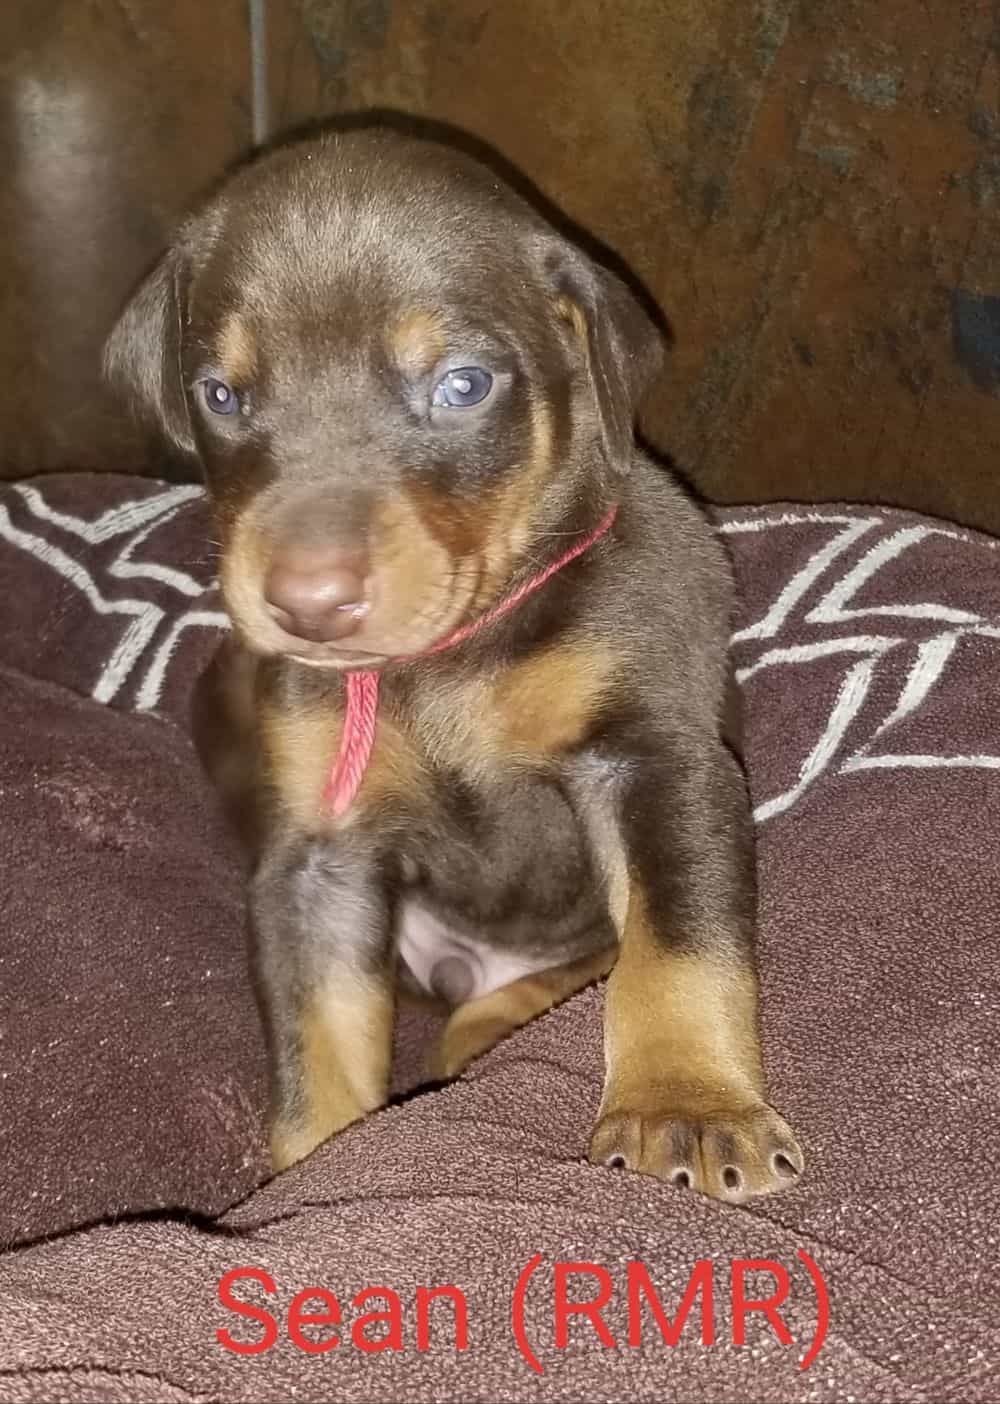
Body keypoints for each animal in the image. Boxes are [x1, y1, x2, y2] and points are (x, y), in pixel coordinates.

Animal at [105, 126, 803, 1207]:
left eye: (462, 384)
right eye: (220, 394)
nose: (307, 603)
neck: (445, 659)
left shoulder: (655, 759)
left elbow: (678, 944)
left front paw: (685, 1107)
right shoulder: (318, 851)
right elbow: (320, 1039)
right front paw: (315, 1173)